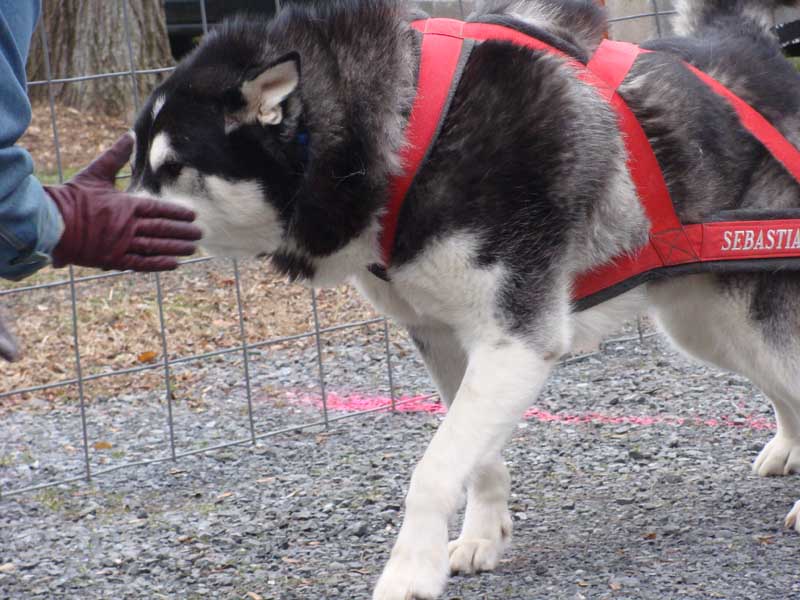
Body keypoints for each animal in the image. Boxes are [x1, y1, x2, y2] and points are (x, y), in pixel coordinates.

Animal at [130, 2, 800, 596]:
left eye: (174, 166)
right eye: (134, 162)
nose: (115, 217)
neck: (410, 132)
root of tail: (750, 43)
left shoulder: (516, 340)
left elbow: (432, 471)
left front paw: (408, 575)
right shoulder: (446, 339)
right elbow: (475, 458)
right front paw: (482, 535)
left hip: (752, 313)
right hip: (704, 321)